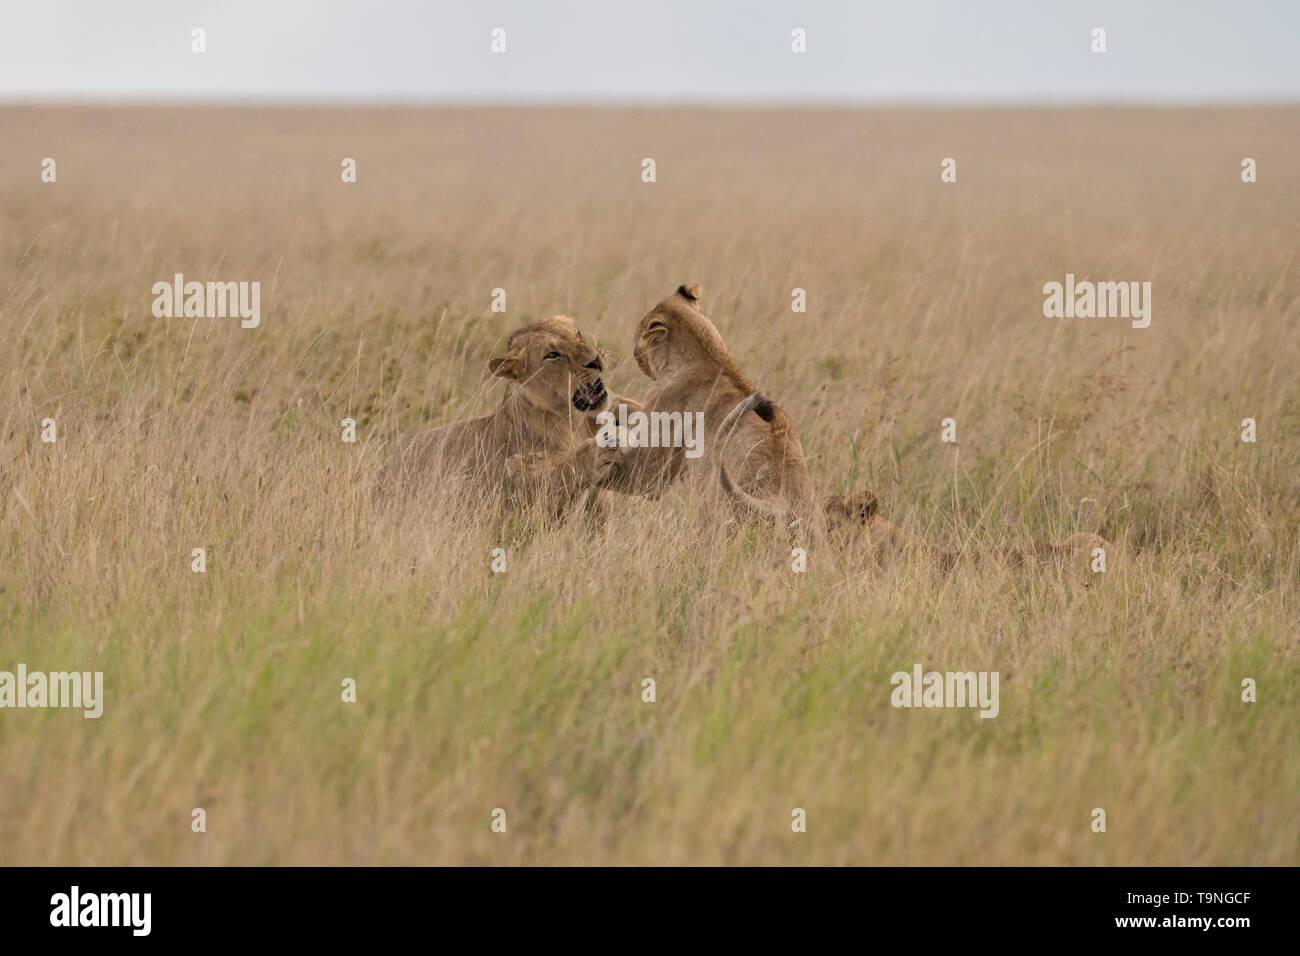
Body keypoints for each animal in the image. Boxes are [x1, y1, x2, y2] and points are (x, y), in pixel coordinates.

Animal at [377, 314, 639, 522]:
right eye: (553, 354)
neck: (573, 422)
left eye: (578, 334)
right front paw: (599, 450)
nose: (595, 360)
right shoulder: (522, 499)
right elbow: (556, 474)